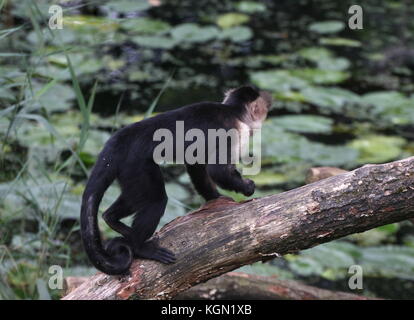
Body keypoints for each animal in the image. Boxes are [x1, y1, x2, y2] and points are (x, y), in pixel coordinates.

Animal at [80, 85, 272, 276]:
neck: (233, 111)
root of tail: (118, 140)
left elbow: (196, 164)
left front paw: (214, 198)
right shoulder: (236, 131)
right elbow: (217, 170)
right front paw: (246, 187)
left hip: (127, 171)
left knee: (132, 198)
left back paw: (111, 218)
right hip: (136, 164)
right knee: (156, 201)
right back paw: (140, 247)